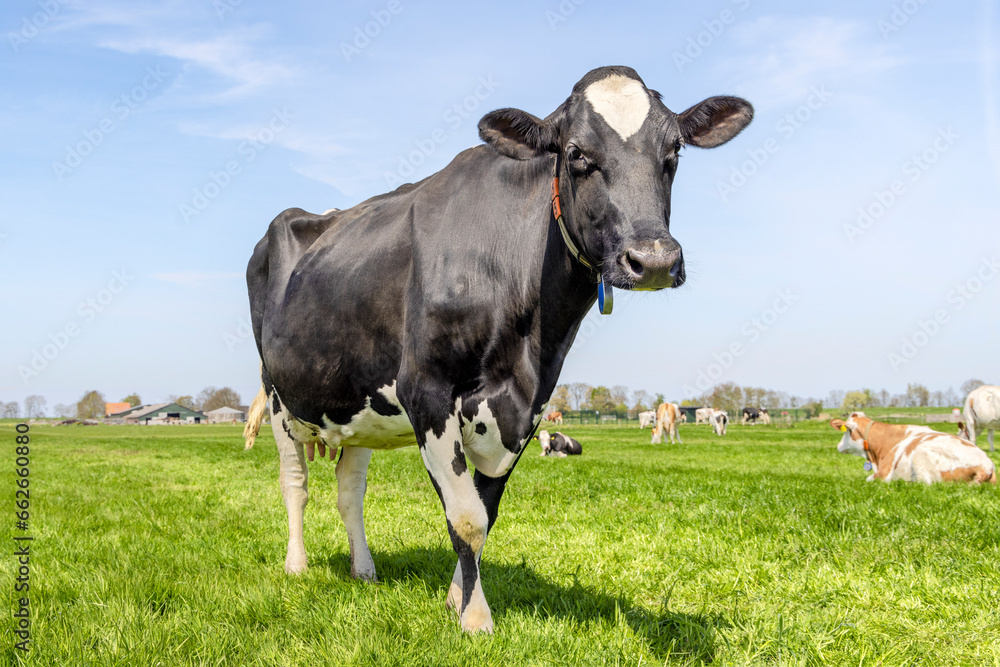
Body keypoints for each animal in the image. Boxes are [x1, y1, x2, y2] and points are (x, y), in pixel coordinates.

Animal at [242, 65, 752, 636]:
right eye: (576, 152)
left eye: (674, 151)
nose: (655, 259)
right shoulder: (427, 391)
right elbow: (464, 516)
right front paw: (475, 618)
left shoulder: (525, 406)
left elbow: (484, 514)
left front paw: (456, 598)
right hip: (279, 396)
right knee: (295, 483)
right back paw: (297, 565)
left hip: (356, 402)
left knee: (349, 490)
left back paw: (364, 569)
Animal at [832, 412, 996, 486]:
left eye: (846, 431)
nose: (838, 446)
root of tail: (986, 465)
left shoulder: (883, 475)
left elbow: (868, 479)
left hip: (921, 456)